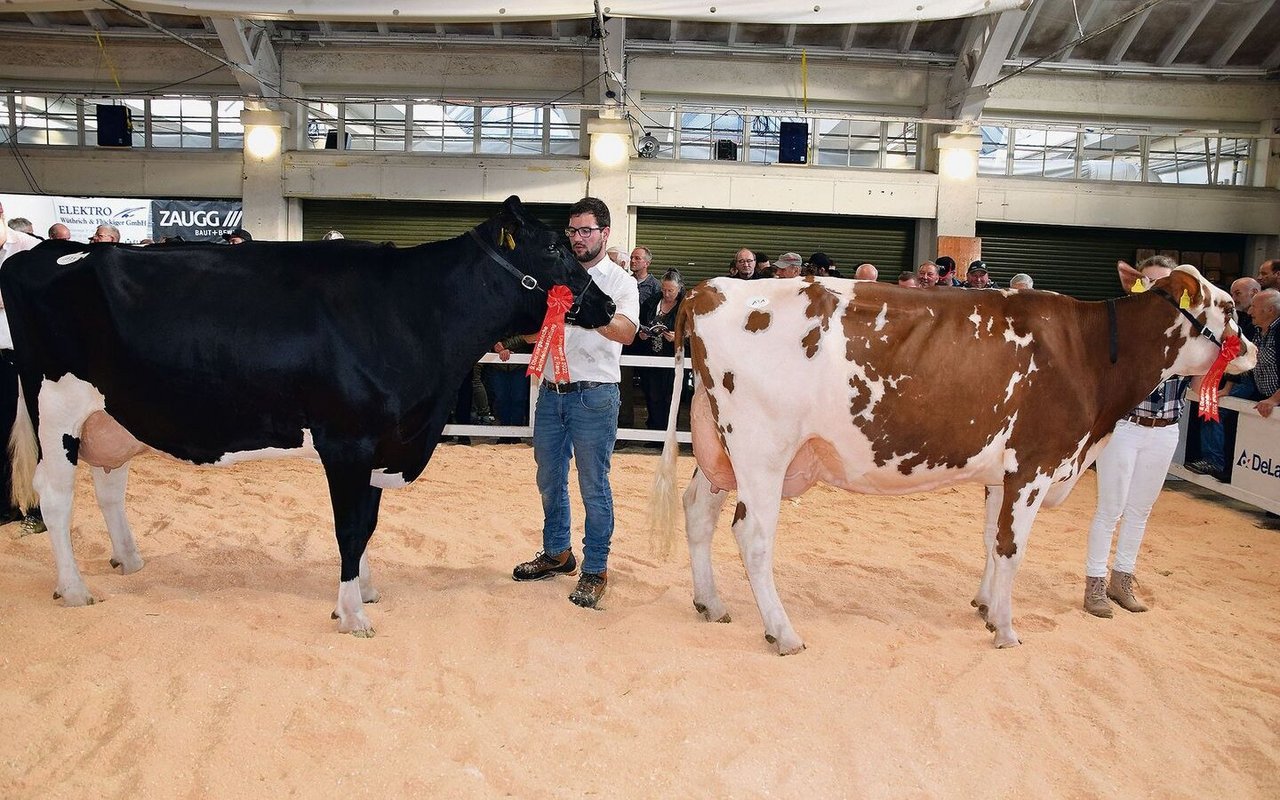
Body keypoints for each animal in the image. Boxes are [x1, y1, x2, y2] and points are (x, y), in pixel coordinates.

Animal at [2, 197, 616, 632]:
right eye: (556, 247)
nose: (609, 305)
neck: (413, 311)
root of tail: (35, 252)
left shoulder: (383, 443)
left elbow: (368, 522)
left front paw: (363, 590)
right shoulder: (348, 440)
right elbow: (351, 525)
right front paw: (352, 613)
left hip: (112, 416)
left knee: (109, 484)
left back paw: (128, 561)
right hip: (56, 408)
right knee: (55, 494)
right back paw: (74, 589)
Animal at [655, 264, 1254, 652]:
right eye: (1227, 308)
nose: (1249, 349)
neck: (1089, 354)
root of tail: (710, 290)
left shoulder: (1002, 474)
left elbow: (990, 539)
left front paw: (986, 608)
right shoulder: (1034, 467)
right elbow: (1012, 549)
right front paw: (1007, 630)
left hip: (719, 448)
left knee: (697, 510)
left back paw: (711, 603)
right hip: (763, 452)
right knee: (753, 534)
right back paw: (783, 632)